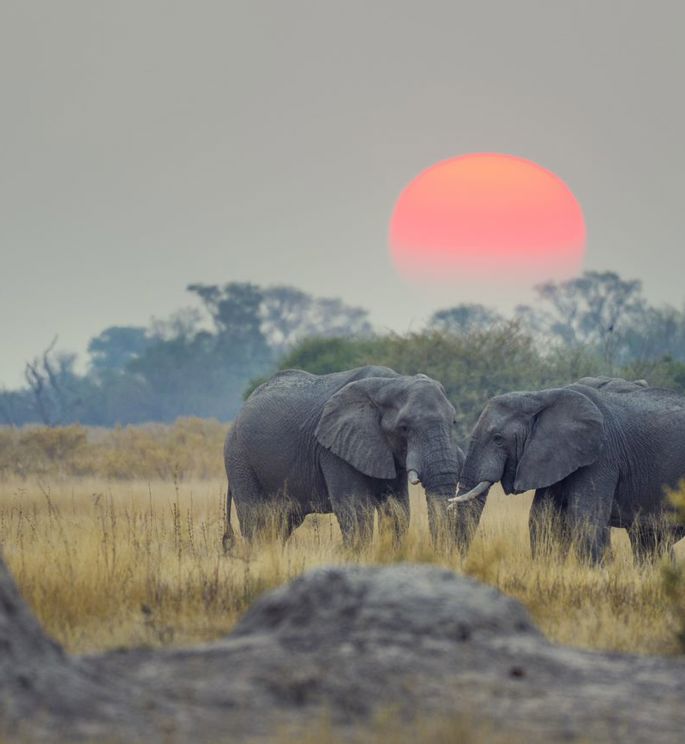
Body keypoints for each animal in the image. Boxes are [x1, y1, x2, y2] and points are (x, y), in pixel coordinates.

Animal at [222, 364, 462, 548]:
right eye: (404, 428)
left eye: (453, 421)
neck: (392, 382)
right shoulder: (333, 448)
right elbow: (355, 510)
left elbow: (397, 510)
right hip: (238, 458)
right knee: (256, 520)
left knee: (281, 523)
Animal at [448, 378, 684, 564]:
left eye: (498, 439)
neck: (539, 397)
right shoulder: (553, 456)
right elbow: (544, 518)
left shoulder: (601, 455)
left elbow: (585, 517)